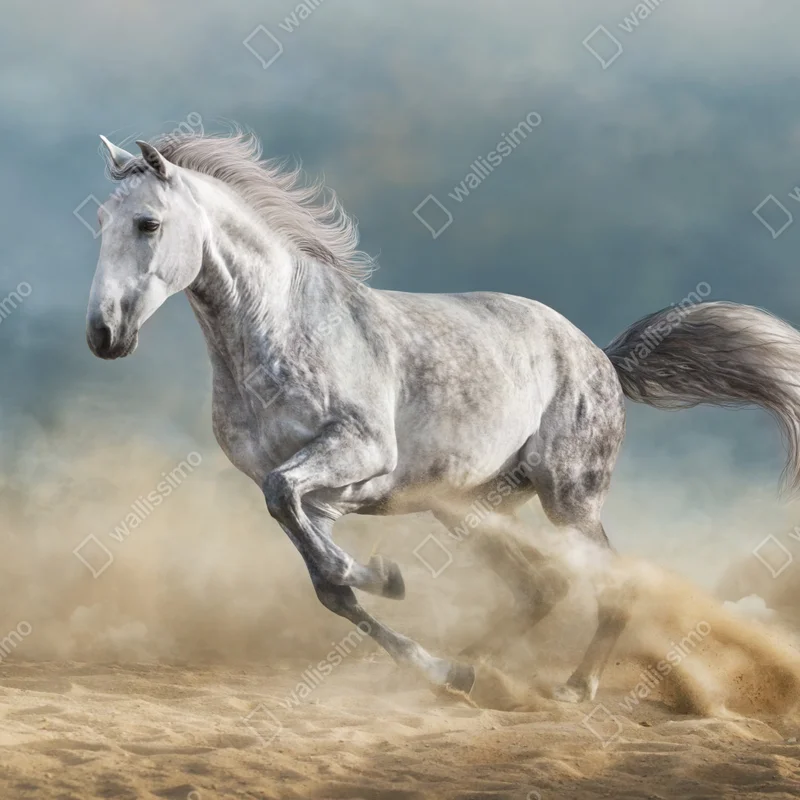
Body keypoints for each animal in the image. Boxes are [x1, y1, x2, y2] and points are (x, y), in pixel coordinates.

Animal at [86, 131, 800, 703]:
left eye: (148, 224)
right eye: (99, 222)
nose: (104, 335)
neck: (279, 329)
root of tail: (600, 356)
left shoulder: (357, 455)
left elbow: (303, 524)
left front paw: (384, 577)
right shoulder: (320, 498)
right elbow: (324, 576)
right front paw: (419, 637)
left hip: (569, 498)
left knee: (612, 582)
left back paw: (575, 687)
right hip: (467, 506)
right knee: (541, 585)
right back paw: (472, 670)